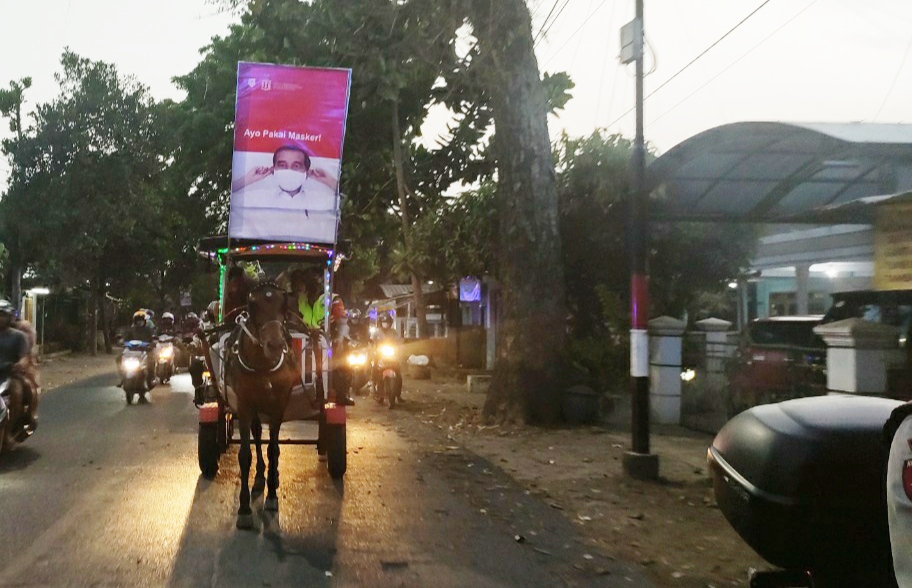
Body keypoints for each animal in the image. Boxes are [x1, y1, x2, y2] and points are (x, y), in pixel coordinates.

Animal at [225, 280, 302, 528]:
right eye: (252, 304)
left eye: (284, 305)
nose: (276, 345)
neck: (263, 365)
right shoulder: (244, 405)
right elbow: (245, 455)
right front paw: (244, 508)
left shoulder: (279, 404)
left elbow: (274, 450)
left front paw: (272, 497)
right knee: (258, 433)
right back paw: (260, 477)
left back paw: (272, 478)